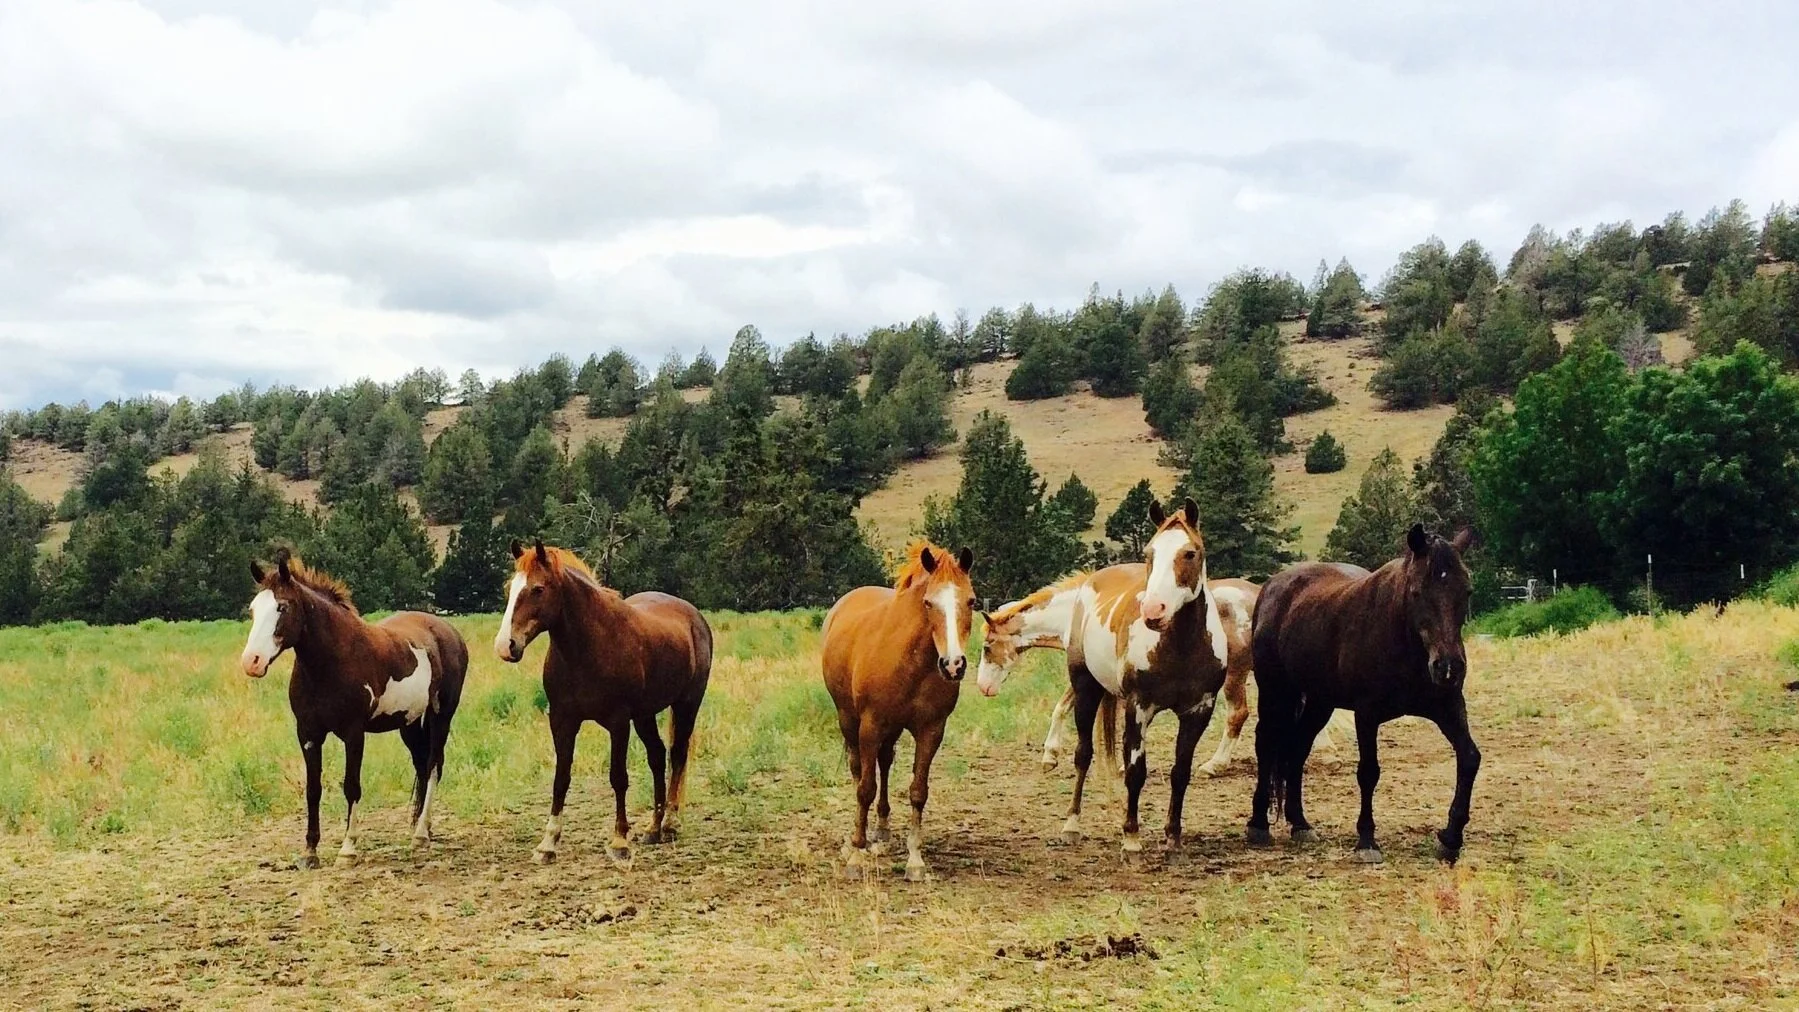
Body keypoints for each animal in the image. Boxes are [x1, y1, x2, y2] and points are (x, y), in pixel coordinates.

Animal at [239, 548, 468, 868]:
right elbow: (313, 789)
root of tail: (449, 632)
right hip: (409, 723)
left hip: (441, 716)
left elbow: (351, 785)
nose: (252, 661)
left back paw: (421, 834)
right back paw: (421, 828)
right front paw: (310, 852)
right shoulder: (308, 734)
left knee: (434, 766)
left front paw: (348, 849)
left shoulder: (353, 733)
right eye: (253, 609)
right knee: (422, 766)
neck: (332, 661)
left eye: (282, 607)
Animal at [493, 539, 713, 866]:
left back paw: (671, 823)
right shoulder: (562, 721)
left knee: (677, 755)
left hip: (687, 704)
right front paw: (548, 844)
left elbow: (618, 778)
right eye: (510, 587)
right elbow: (561, 779)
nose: (506, 646)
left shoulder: (618, 722)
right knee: (657, 756)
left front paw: (620, 840)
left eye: (538, 589)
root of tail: (693, 615)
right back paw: (653, 827)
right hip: (645, 715)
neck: (588, 648)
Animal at [822, 540, 976, 882]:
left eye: (972, 601)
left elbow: (918, 791)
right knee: (859, 771)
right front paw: (856, 855)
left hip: (890, 730)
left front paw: (915, 861)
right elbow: (865, 789)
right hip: (849, 721)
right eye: (929, 602)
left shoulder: (931, 730)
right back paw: (859, 836)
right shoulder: (870, 726)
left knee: (885, 762)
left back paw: (881, 830)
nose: (953, 665)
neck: (912, 662)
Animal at [1053, 498, 1239, 853]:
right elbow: (1136, 771)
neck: (1179, 647)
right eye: (1150, 553)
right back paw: (1070, 825)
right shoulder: (1137, 707)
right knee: (1084, 754)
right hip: (1085, 689)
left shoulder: (1198, 711)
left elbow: (1180, 772)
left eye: (1190, 553)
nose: (1153, 611)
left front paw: (1173, 837)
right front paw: (1131, 839)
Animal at [1246, 524, 1479, 864]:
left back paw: (1300, 824)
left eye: (1466, 591)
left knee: (1298, 748)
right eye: (1417, 592)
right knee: (1266, 744)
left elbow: (1469, 758)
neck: (1404, 641)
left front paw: (1450, 838)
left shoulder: (1447, 707)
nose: (1449, 667)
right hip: (1275, 691)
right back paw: (1258, 825)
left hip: (1320, 701)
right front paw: (1367, 840)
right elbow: (1369, 772)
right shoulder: (1367, 714)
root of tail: (1272, 587)